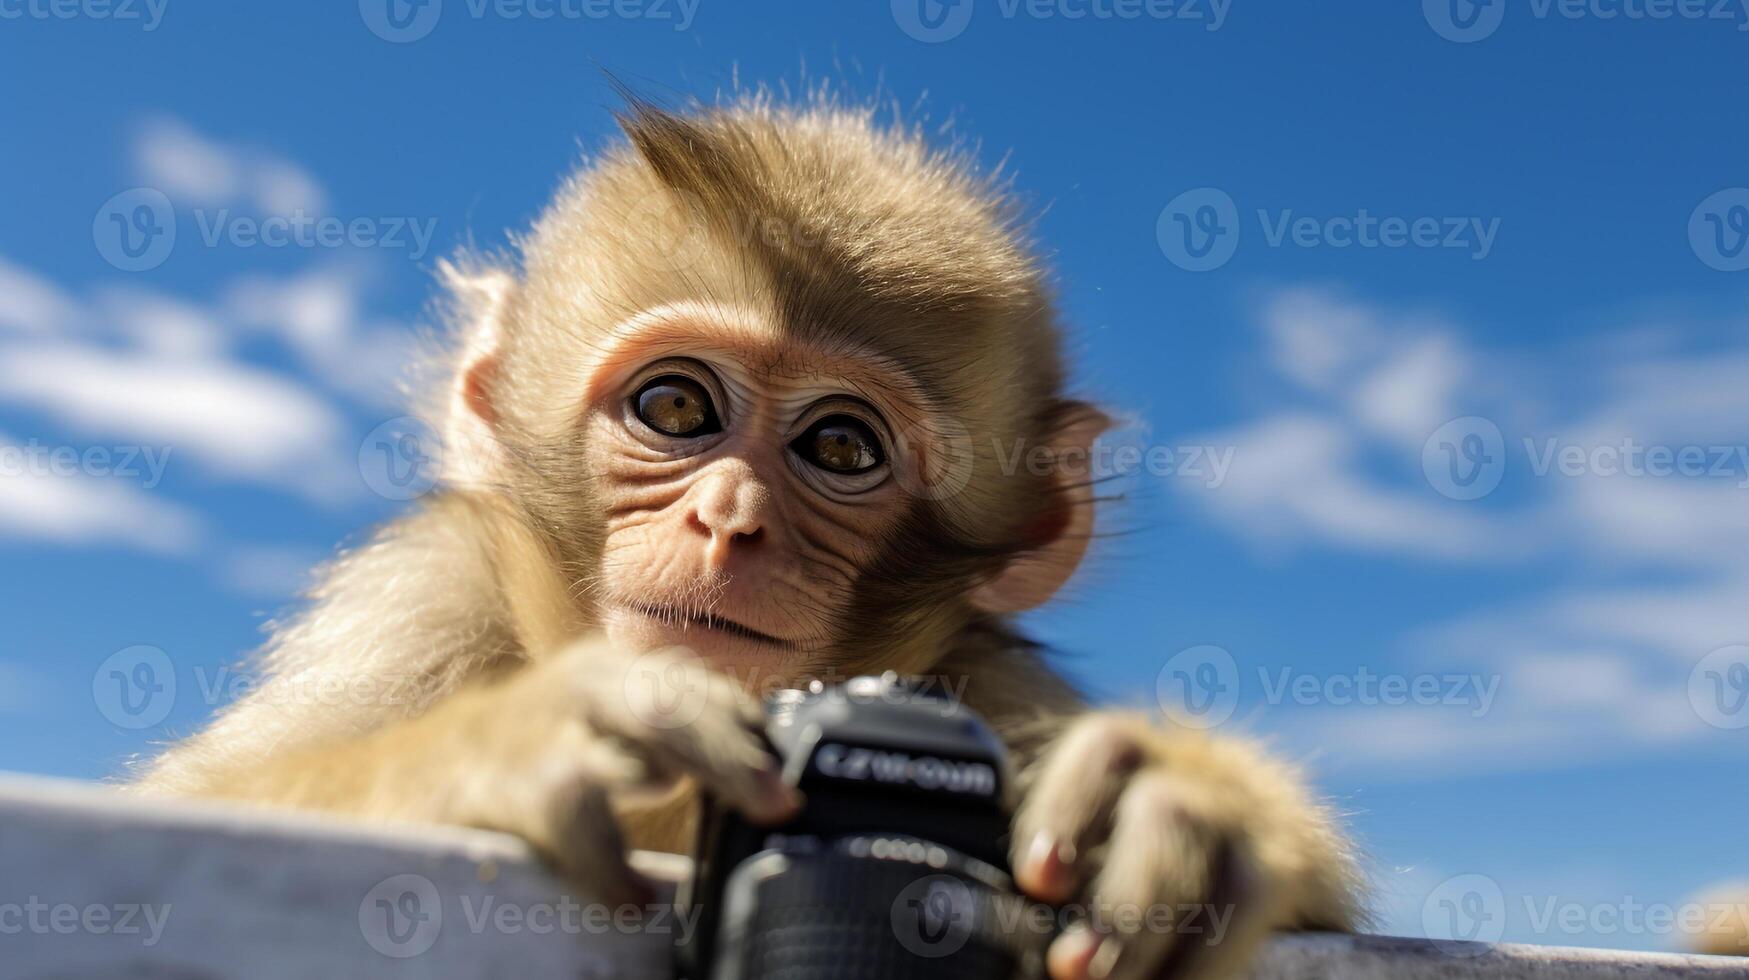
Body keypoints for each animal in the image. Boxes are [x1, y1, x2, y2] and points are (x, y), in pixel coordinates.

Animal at [139, 93, 1364, 980]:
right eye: (676, 406)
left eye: (841, 446)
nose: (729, 518)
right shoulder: (423, 594)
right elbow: (195, 804)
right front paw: (518, 739)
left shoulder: (984, 672)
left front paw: (1167, 803)